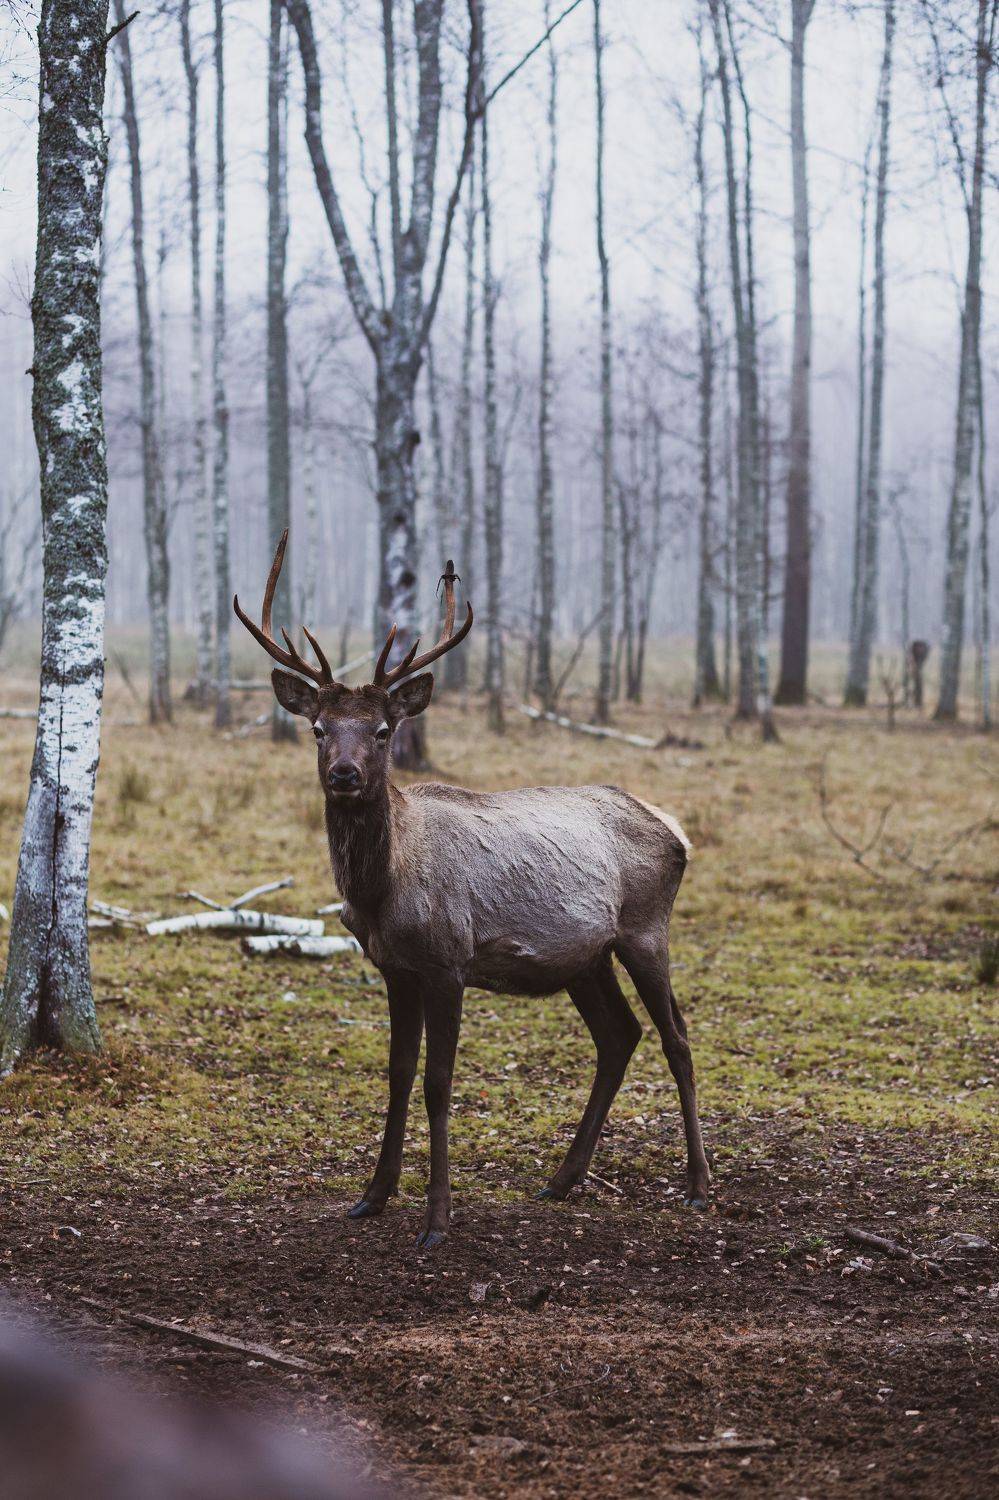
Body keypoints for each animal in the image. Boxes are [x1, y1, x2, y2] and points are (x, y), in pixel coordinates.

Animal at [234, 533, 710, 1248]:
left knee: (676, 1036)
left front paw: (436, 1221)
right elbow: (398, 1073)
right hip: (585, 957)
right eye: (318, 728)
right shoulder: (394, 968)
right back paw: (562, 1179)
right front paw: (372, 1196)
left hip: (646, 929)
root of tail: (676, 832)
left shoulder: (447, 960)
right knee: (619, 1036)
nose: (344, 774)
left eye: (382, 730)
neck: (381, 894)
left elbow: (438, 1081)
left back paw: (699, 1184)